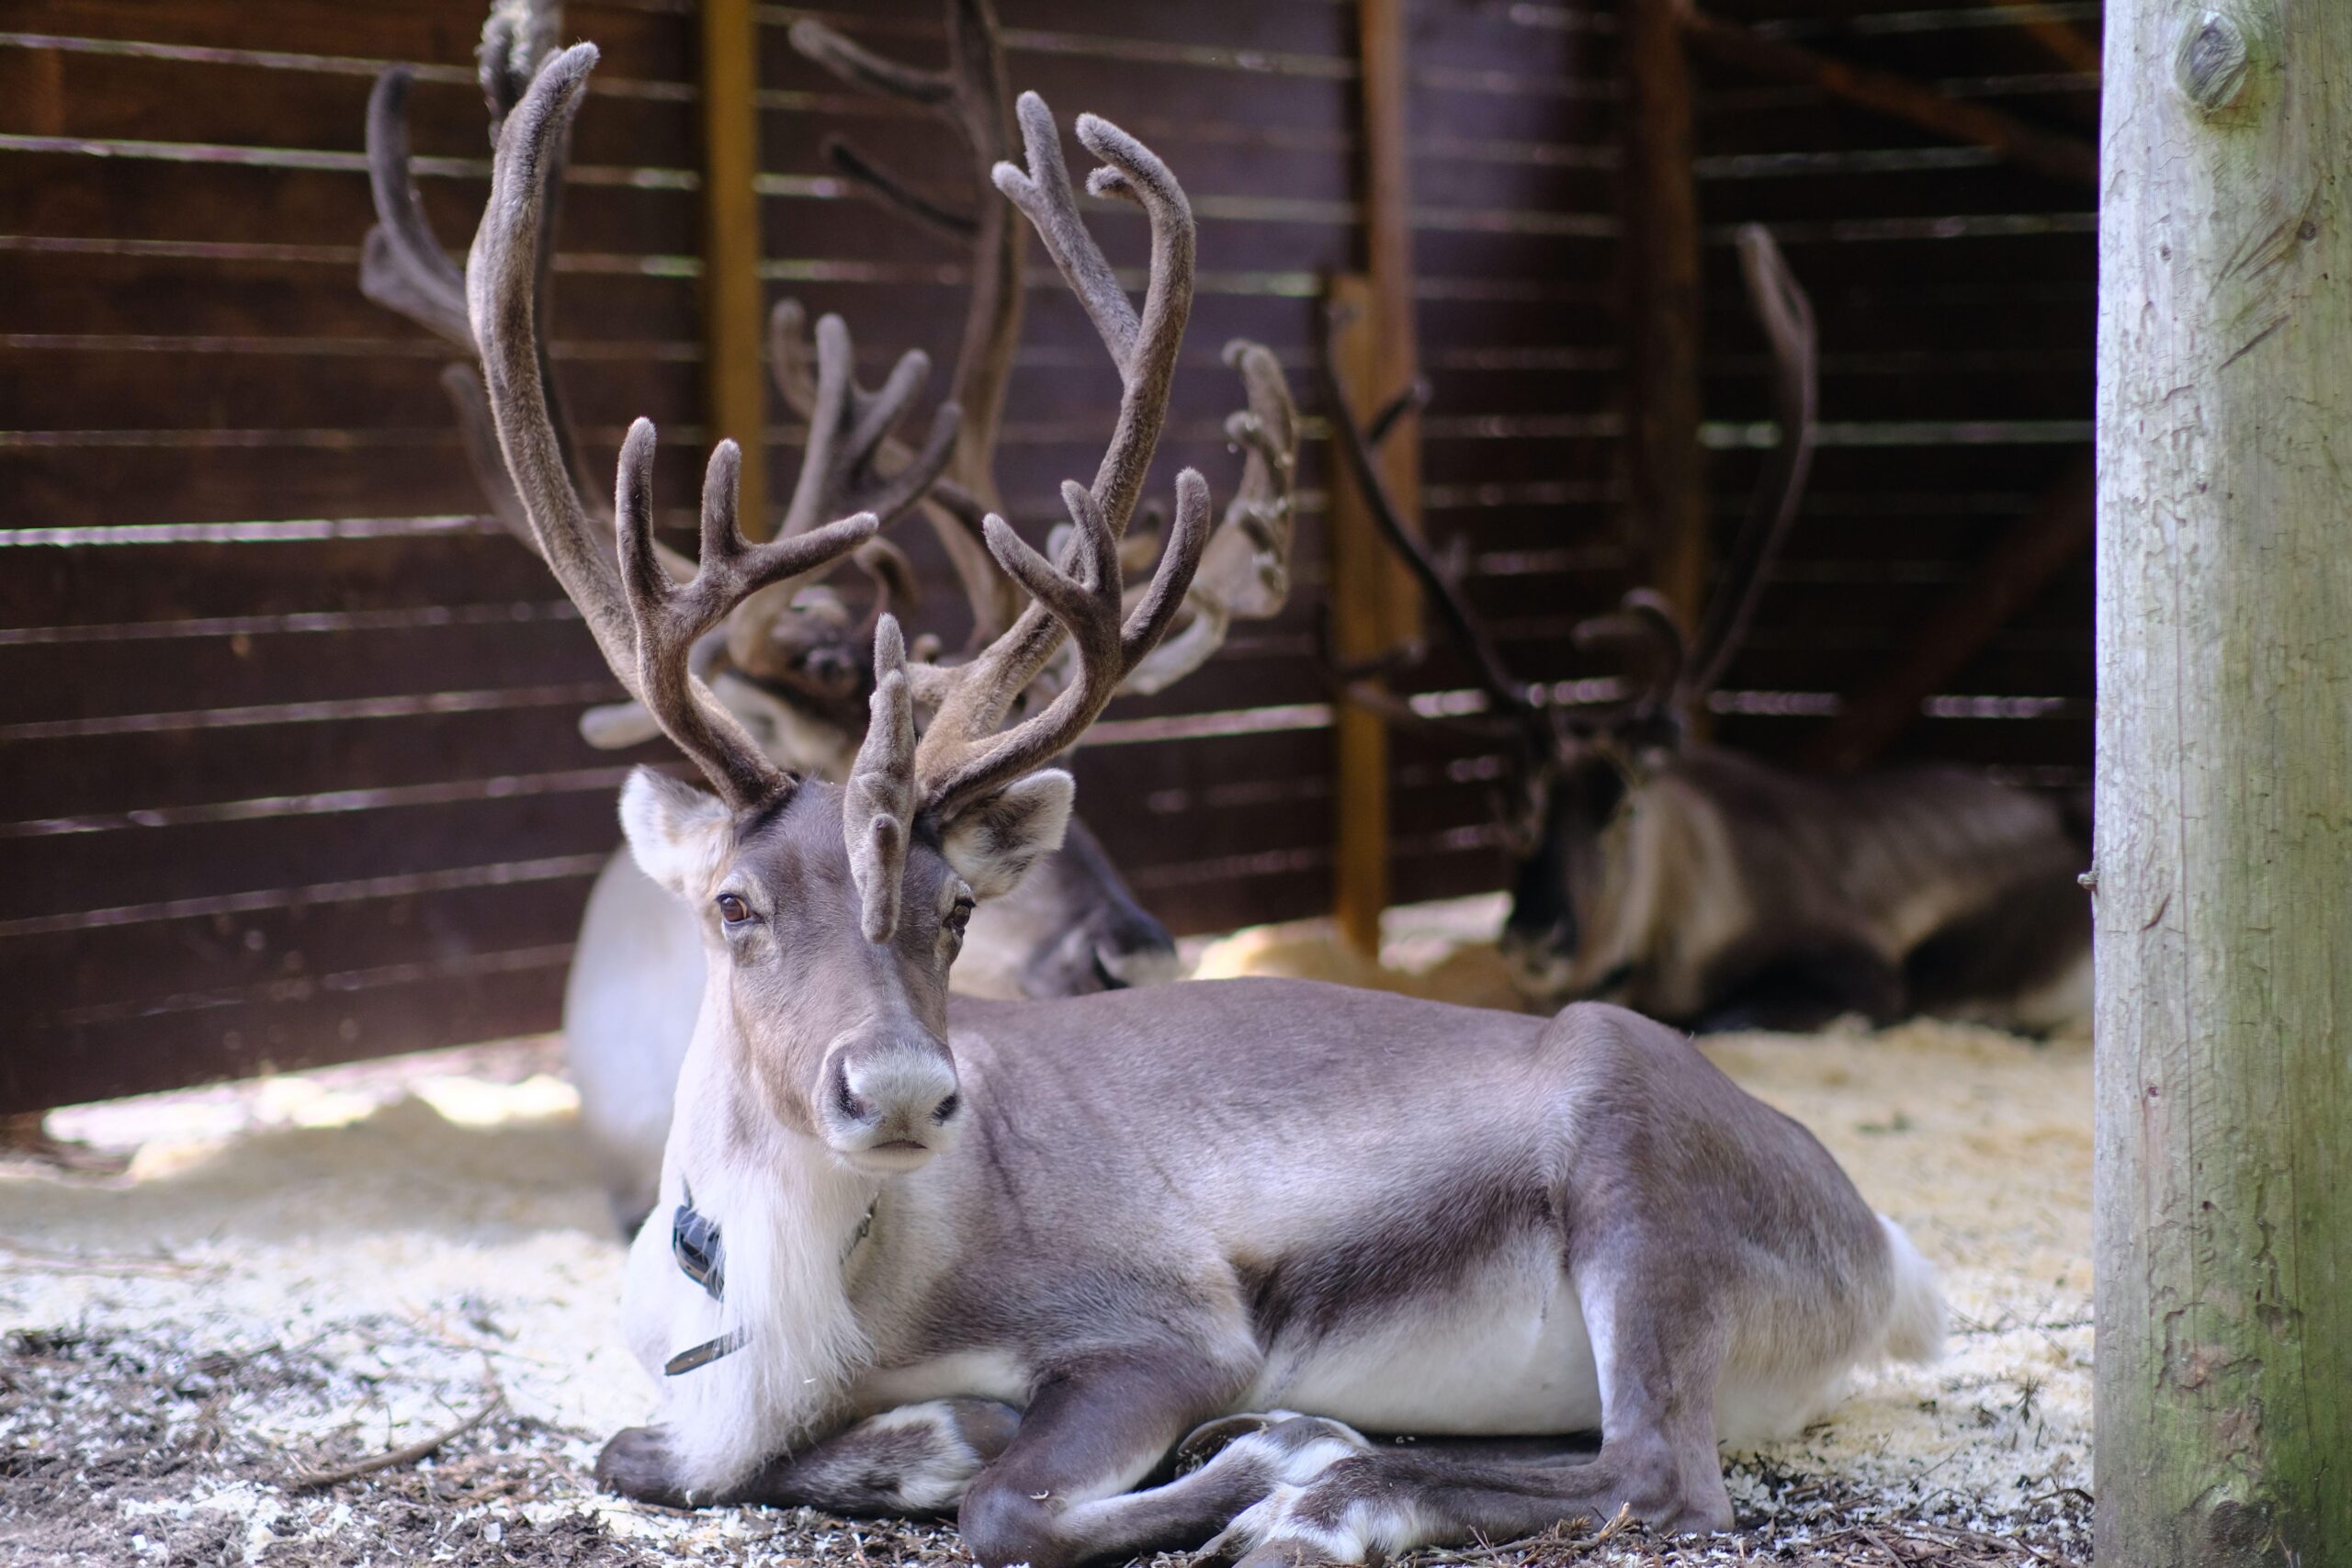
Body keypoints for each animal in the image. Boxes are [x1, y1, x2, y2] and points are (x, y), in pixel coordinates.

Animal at [467, 44, 1945, 1566]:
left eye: (954, 908)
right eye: (733, 903)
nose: (903, 1088)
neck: (796, 1315)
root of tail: (1884, 1254)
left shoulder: (1171, 1319)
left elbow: (1008, 1495)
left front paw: (1250, 1451)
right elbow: (645, 1446)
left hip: (1633, 1156)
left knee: (1660, 1468)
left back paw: (1324, 1500)